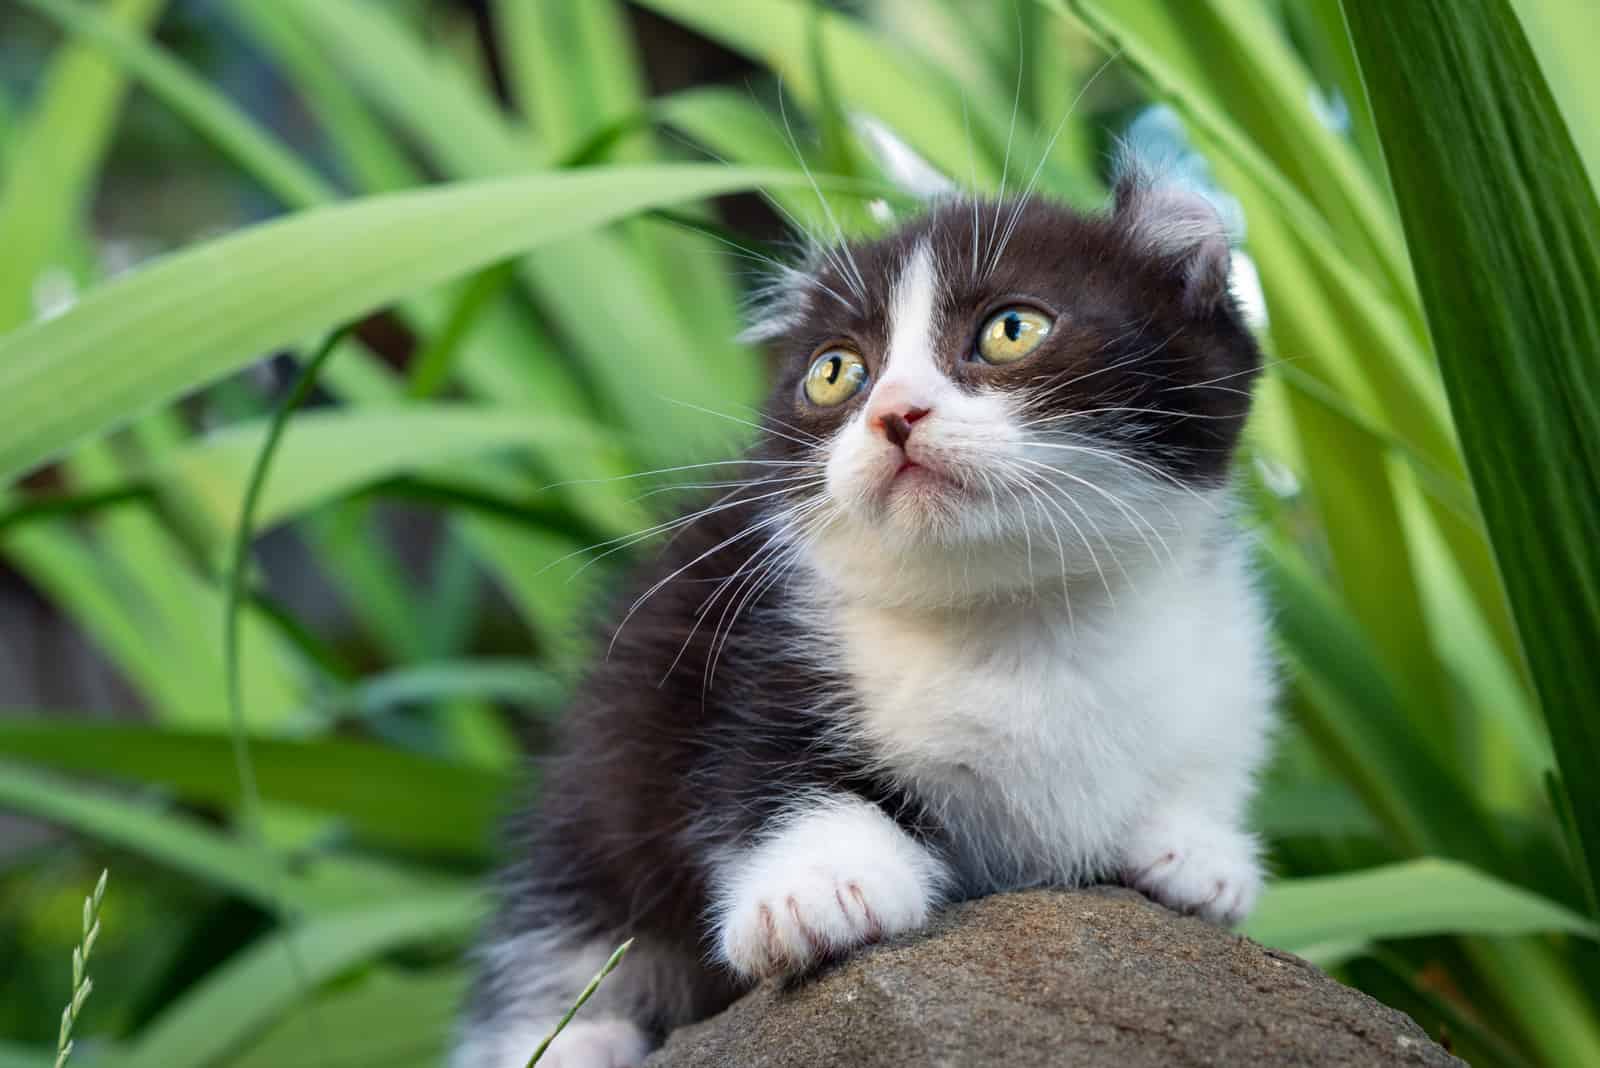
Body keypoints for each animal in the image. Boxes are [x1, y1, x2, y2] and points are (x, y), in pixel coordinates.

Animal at [451, 175, 1273, 1068]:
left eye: (1012, 329)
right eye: (836, 372)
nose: (895, 414)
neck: (1019, 616)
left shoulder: (1221, 650)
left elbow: (1206, 750)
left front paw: (1196, 849)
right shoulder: (745, 649)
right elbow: (766, 770)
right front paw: (816, 888)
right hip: (601, 775)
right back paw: (578, 1039)